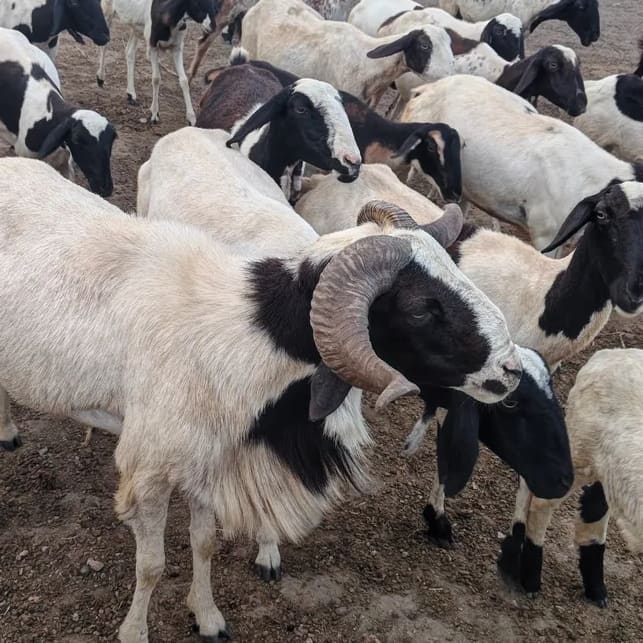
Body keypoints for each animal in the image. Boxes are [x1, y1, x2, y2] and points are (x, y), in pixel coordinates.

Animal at [0, 157, 523, 640]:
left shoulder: (208, 457)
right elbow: (151, 566)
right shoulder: (149, 469)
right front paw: (135, 632)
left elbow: (204, 542)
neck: (243, 333)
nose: (511, 371)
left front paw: (208, 617)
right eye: (420, 309)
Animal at [498, 348, 643, 607]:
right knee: (539, 502)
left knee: (591, 510)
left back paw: (596, 587)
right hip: (579, 449)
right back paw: (530, 577)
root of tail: (610, 354)